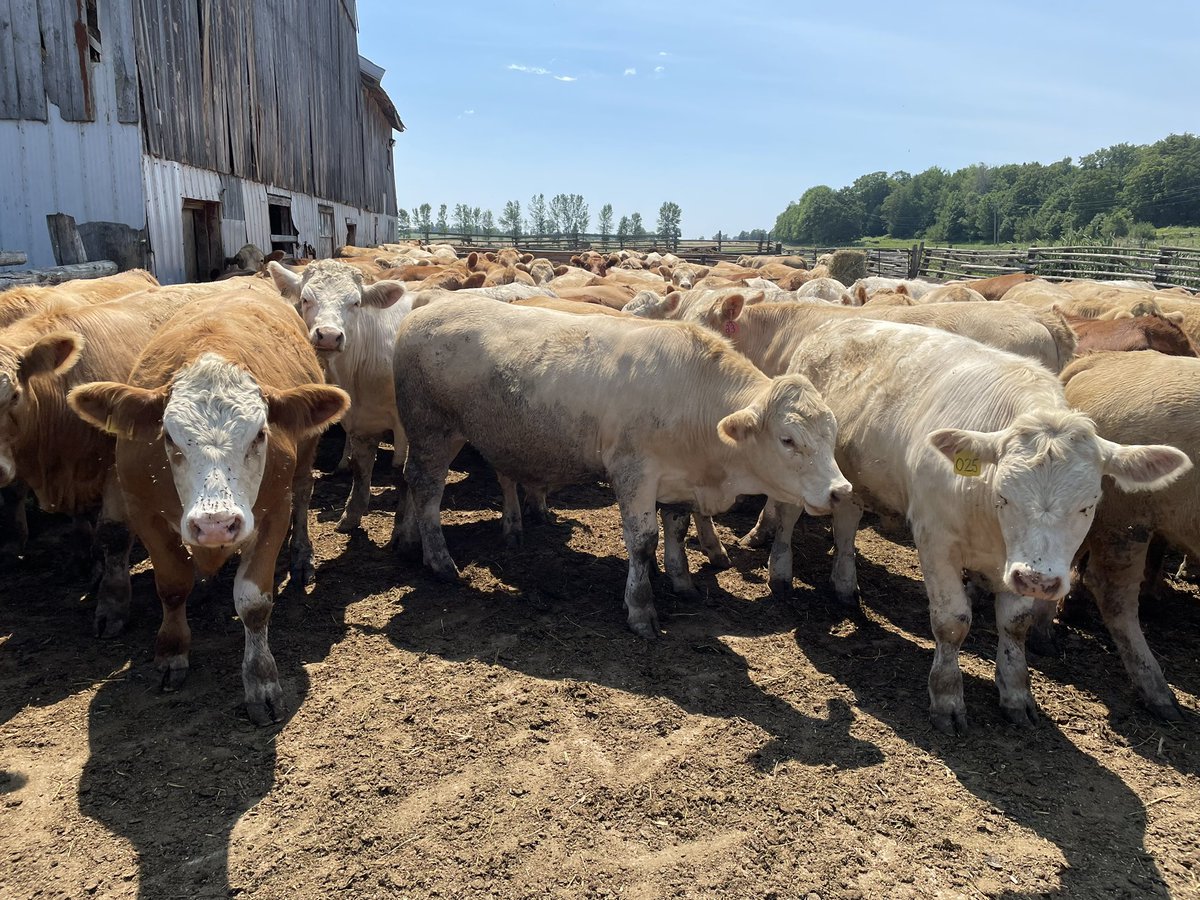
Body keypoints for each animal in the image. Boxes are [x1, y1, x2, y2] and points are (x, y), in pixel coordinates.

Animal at [68, 293, 349, 724]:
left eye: (260, 434)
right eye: (168, 437)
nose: (216, 524)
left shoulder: (273, 512)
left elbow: (254, 603)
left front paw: (261, 679)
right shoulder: (144, 510)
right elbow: (171, 585)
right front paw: (171, 650)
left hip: (303, 466)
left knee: (304, 494)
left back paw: (301, 556)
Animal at [268, 259, 409, 532]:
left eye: (355, 303)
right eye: (305, 299)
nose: (330, 336)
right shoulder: (361, 422)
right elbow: (361, 469)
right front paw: (351, 515)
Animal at [389, 295, 851, 638]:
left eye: (833, 434)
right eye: (788, 439)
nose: (841, 491)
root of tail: (420, 313)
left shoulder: (678, 480)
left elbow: (677, 529)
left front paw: (682, 582)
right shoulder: (634, 473)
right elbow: (643, 541)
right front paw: (641, 608)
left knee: (413, 479)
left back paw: (408, 541)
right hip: (434, 429)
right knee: (425, 486)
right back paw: (439, 560)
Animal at [779, 319, 1187, 734]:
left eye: (1088, 505)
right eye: (1003, 496)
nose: (1039, 580)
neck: (991, 527)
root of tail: (835, 323)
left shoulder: (1013, 568)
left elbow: (1016, 624)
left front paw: (1016, 694)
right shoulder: (935, 539)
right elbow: (951, 621)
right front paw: (946, 697)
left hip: (853, 480)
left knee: (846, 525)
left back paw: (845, 586)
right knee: (791, 515)